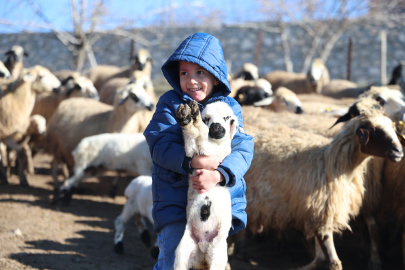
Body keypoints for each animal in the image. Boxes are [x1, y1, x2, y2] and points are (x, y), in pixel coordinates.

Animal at [173, 100, 237, 270]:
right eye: (207, 118)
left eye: (227, 117)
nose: (215, 127)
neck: (216, 143)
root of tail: (202, 250)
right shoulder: (192, 154)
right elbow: (191, 137)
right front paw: (187, 117)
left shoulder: (214, 153)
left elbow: (201, 136)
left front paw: (195, 119)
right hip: (182, 252)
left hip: (218, 252)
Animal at [241, 108, 402, 270]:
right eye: (372, 129)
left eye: (392, 127)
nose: (399, 152)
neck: (332, 163)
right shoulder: (318, 212)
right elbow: (333, 261)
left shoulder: (321, 212)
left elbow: (321, 256)